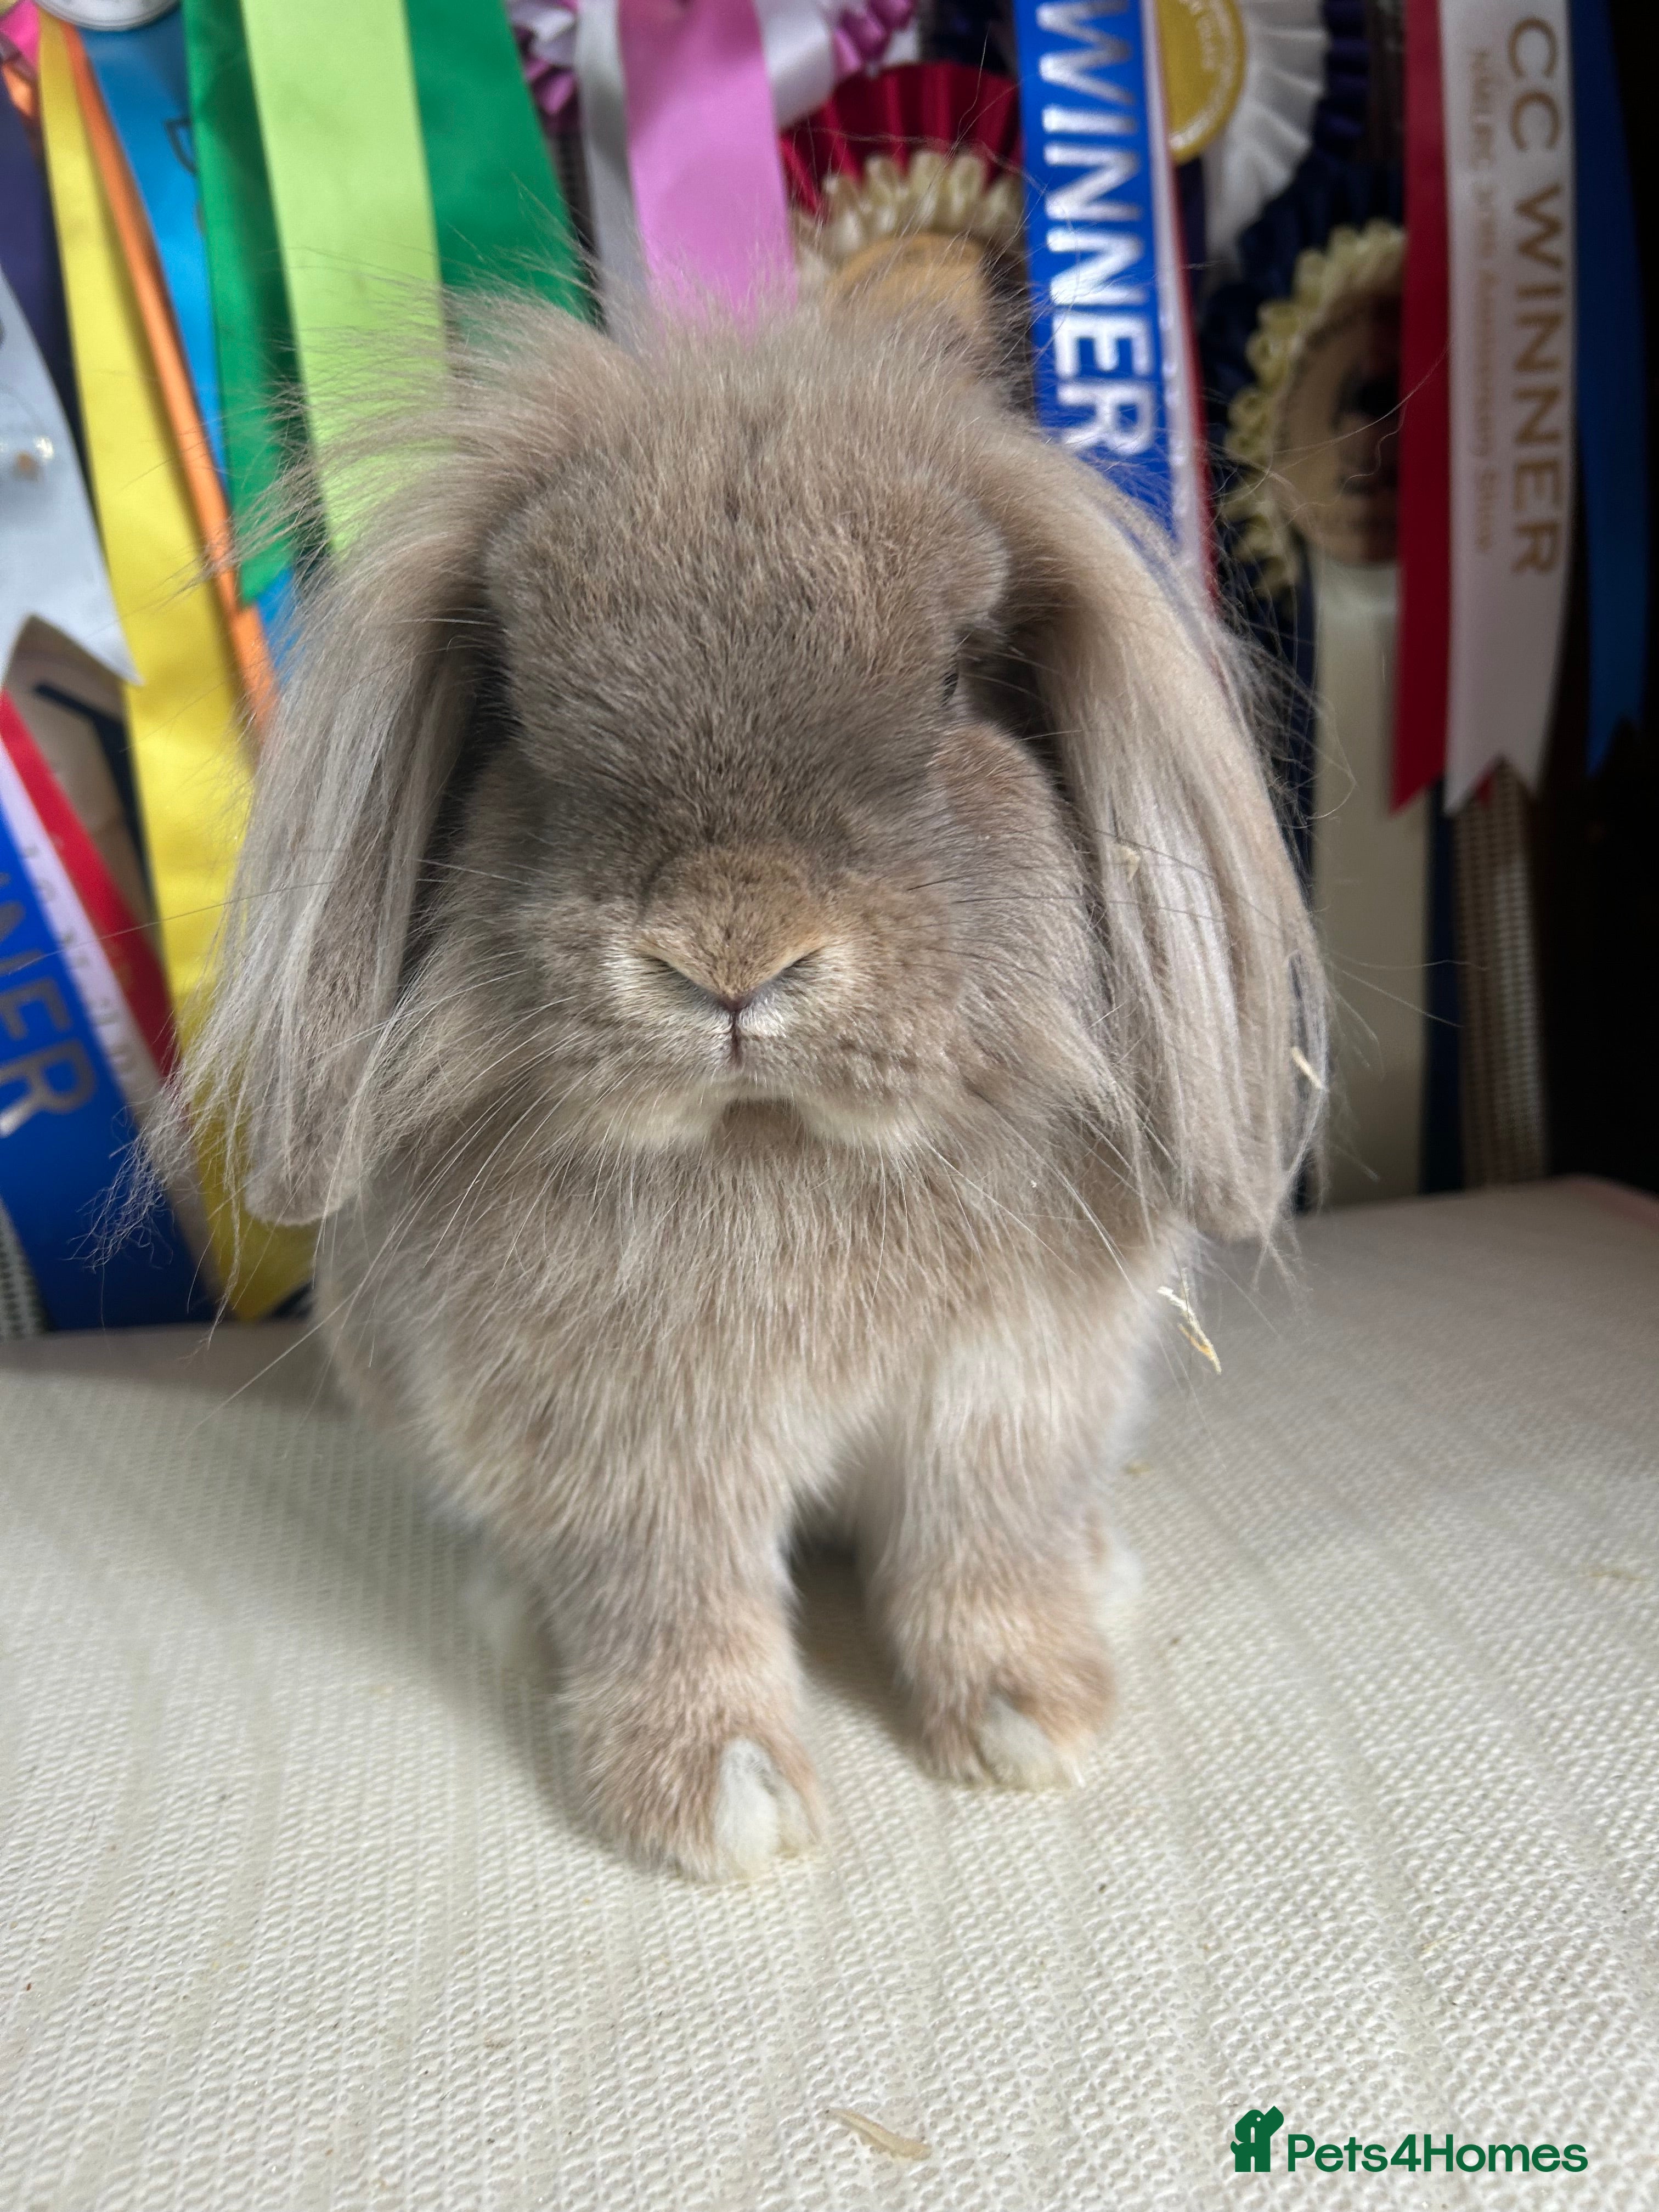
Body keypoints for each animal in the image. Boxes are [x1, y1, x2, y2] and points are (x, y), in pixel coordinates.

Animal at [180, 299, 1325, 1880]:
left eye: (960, 685)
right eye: (518, 716)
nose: (729, 957)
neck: (775, 1144)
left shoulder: (1005, 1405)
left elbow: (983, 1560)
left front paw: (1031, 1724)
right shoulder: (635, 1457)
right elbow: (676, 1614)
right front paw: (722, 1806)